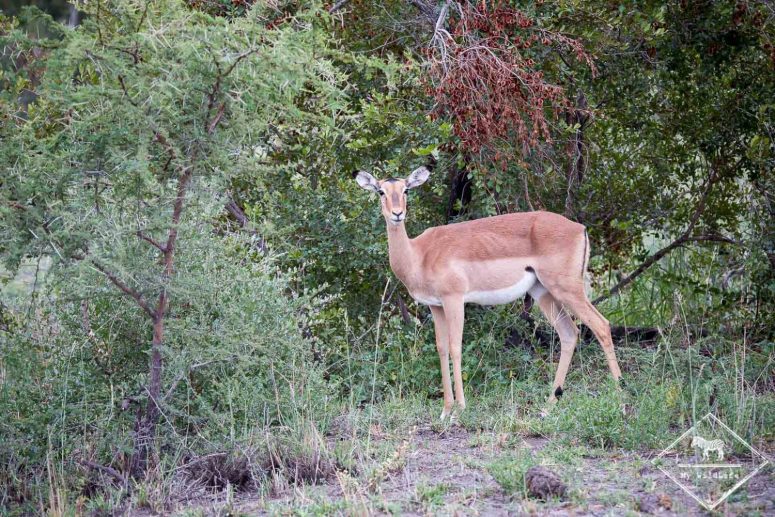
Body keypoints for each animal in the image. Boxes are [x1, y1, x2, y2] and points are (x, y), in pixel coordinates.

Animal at [355, 166, 623, 419]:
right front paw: (445, 410)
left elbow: (456, 347)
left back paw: (620, 395)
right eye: (381, 191)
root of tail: (580, 228)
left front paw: (460, 409)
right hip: (542, 292)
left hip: (567, 288)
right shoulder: (436, 306)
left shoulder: (454, 300)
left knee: (601, 325)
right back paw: (549, 405)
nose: (397, 213)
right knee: (569, 333)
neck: (419, 254)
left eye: (406, 190)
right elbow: (441, 348)